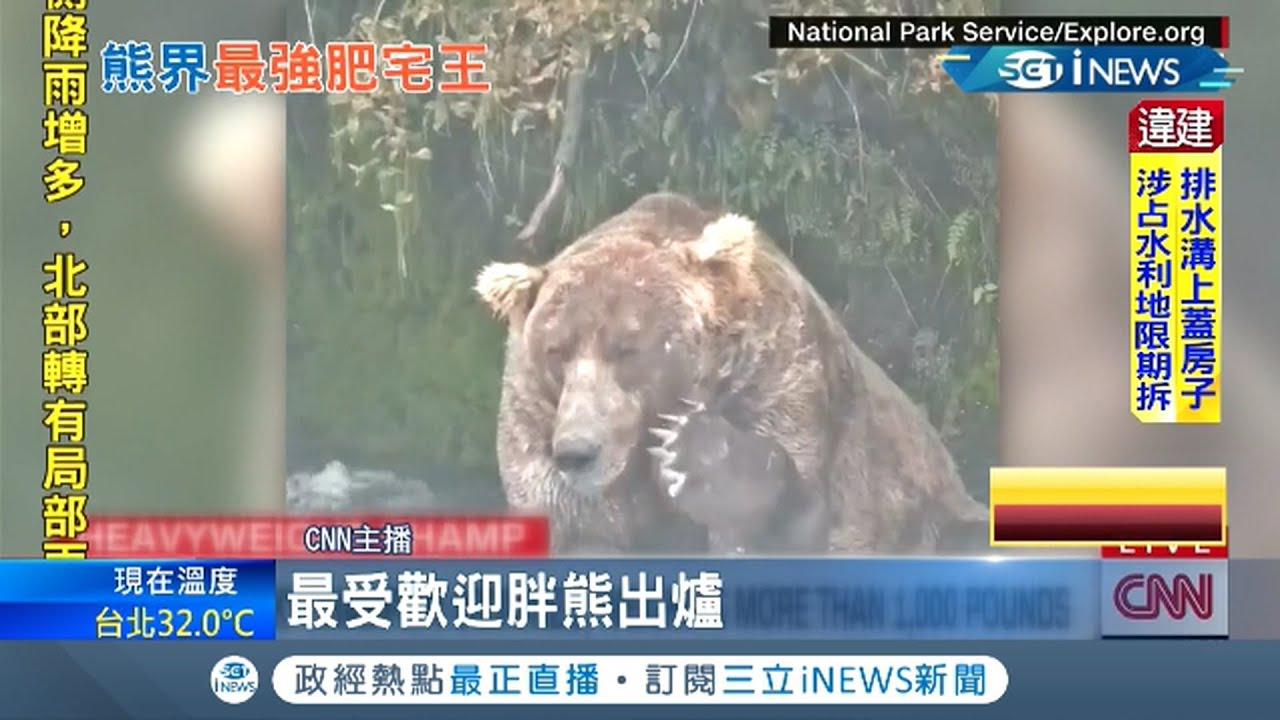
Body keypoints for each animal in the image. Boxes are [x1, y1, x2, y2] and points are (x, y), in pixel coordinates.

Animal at [474, 192, 989, 555]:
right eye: (555, 350)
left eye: (628, 348)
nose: (578, 451)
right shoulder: (536, 426)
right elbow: (580, 530)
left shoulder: (779, 384)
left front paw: (700, 457)